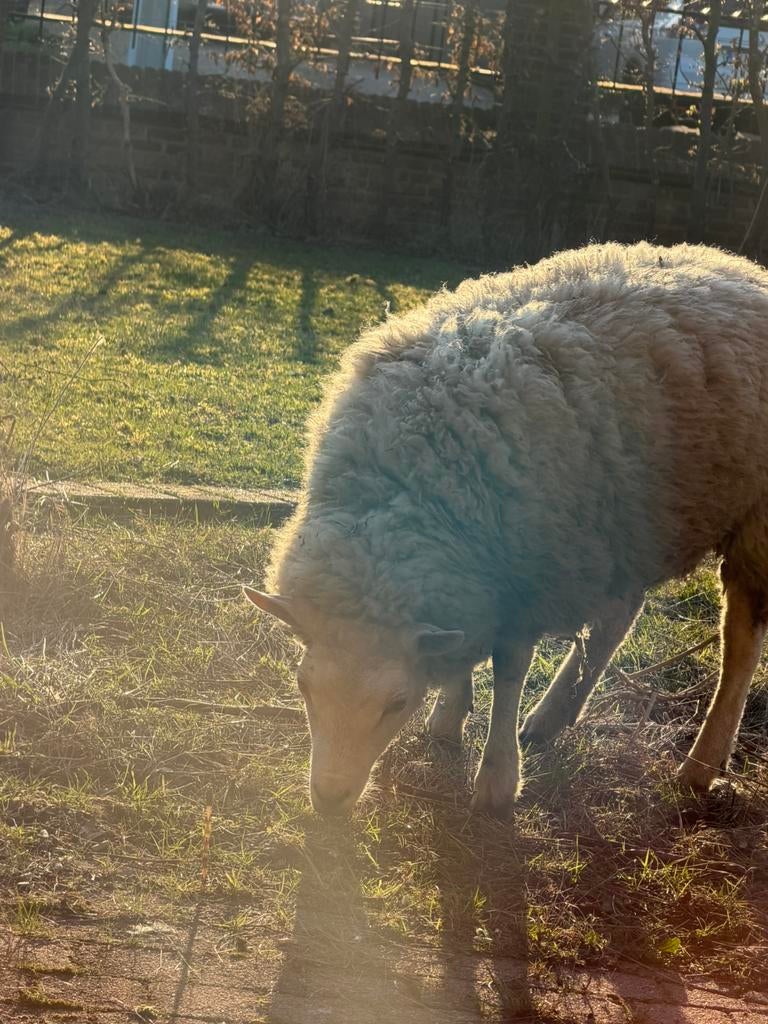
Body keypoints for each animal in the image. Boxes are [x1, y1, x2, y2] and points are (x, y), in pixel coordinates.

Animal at [246, 240, 768, 819]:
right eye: (303, 686)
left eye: (397, 702)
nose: (329, 801)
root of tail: (739, 266)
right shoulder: (480, 574)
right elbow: (462, 649)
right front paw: (450, 715)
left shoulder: (527, 574)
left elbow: (510, 668)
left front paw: (497, 780)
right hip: (626, 523)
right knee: (619, 615)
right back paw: (553, 716)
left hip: (751, 522)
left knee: (740, 642)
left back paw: (699, 766)